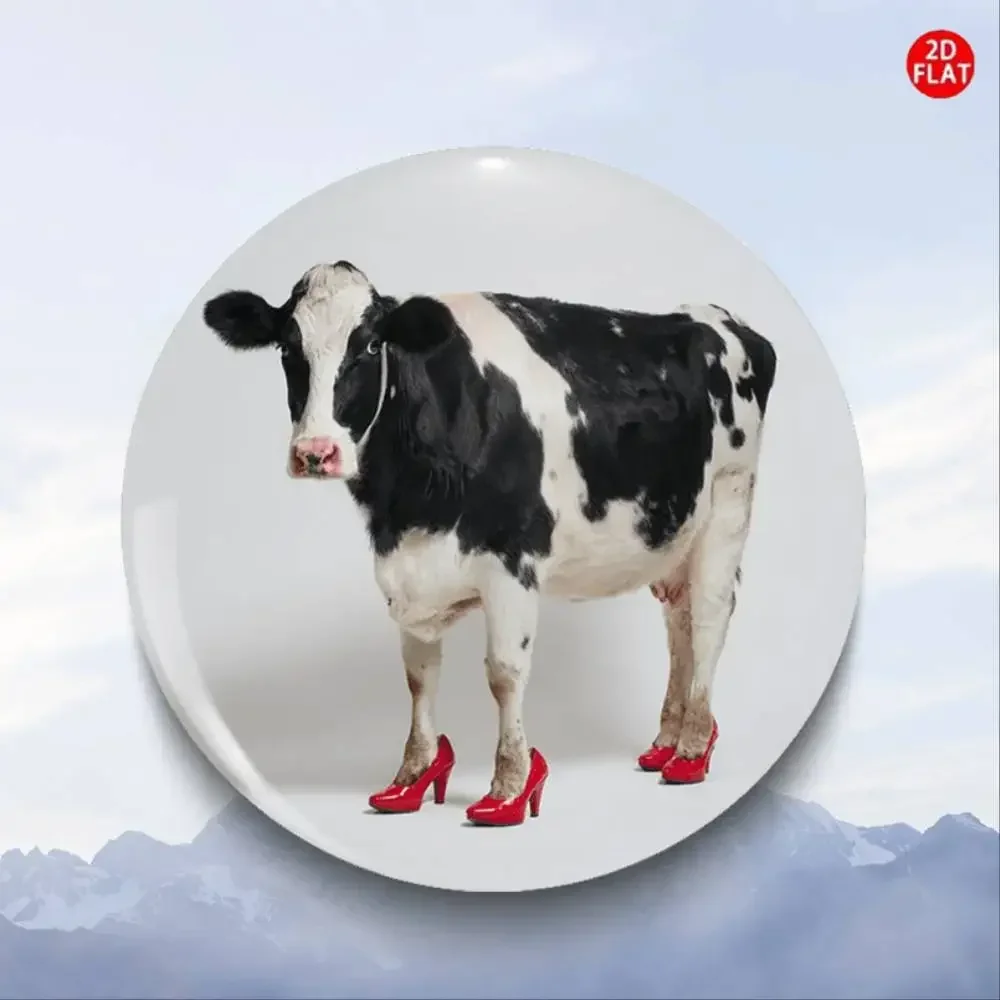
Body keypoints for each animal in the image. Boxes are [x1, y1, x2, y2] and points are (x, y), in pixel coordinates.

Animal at [202, 260, 777, 826]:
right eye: (287, 348)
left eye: (368, 346)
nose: (315, 452)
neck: (409, 503)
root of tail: (717, 316)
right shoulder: (407, 571)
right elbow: (419, 678)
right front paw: (411, 778)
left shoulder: (512, 562)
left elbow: (504, 674)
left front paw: (510, 787)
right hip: (673, 532)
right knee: (678, 622)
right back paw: (665, 743)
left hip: (728, 504)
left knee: (708, 619)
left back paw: (692, 751)